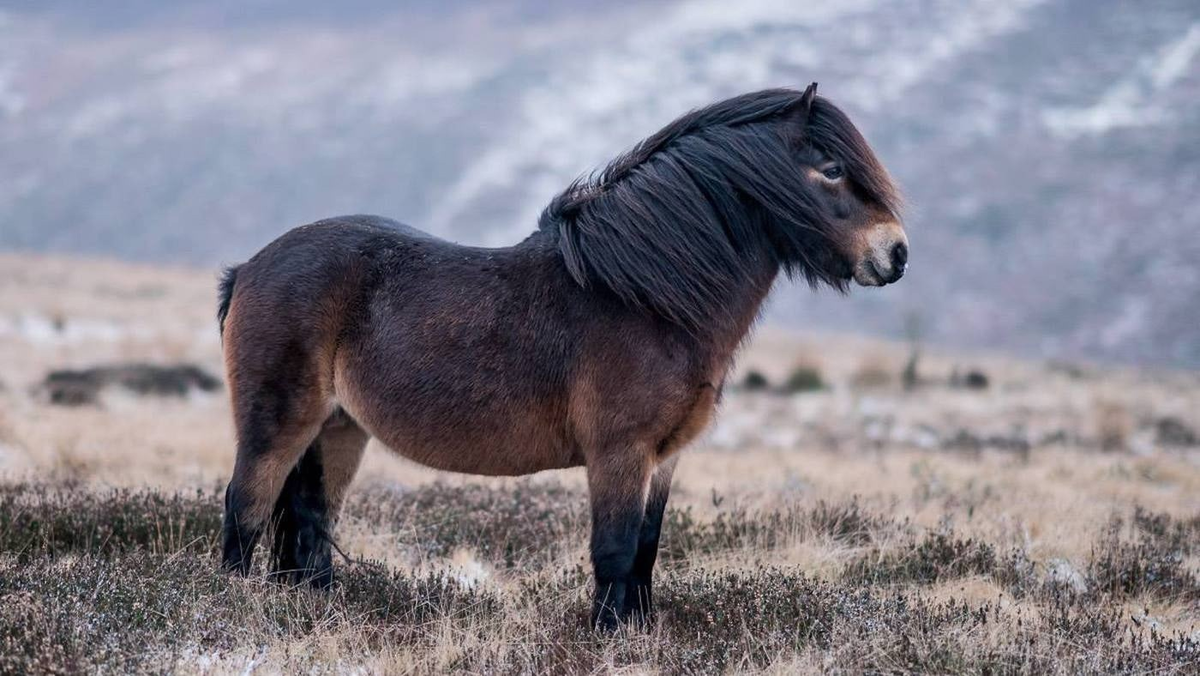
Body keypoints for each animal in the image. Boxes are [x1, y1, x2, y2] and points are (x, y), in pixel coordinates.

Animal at [220, 83, 902, 629]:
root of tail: (248, 267)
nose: (895, 254)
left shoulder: (665, 458)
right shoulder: (619, 452)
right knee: (245, 510)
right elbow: (615, 550)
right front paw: (605, 637)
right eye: (832, 168)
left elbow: (646, 551)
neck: (645, 298)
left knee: (310, 523)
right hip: (279, 425)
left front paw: (638, 634)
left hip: (338, 429)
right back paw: (228, 608)